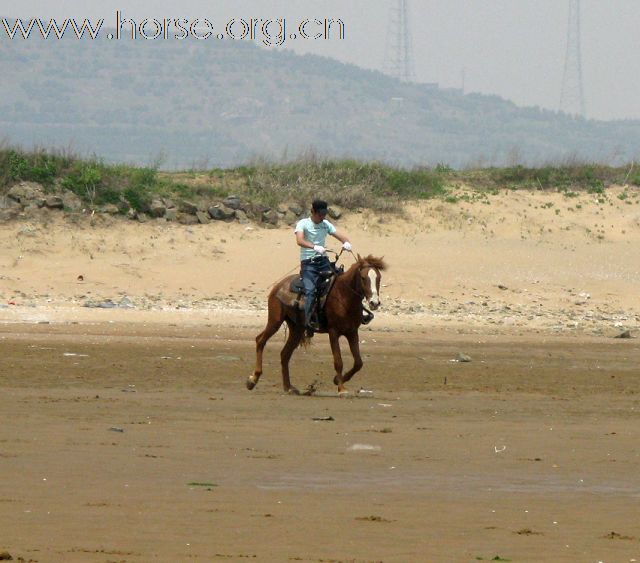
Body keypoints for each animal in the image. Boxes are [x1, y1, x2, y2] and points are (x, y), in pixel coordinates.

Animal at [245, 253, 384, 394]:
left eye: (379, 277)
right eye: (363, 278)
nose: (374, 303)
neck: (344, 296)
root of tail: (278, 286)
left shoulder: (352, 332)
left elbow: (358, 363)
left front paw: (337, 380)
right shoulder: (333, 332)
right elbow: (338, 361)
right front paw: (341, 388)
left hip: (297, 329)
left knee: (285, 354)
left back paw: (288, 387)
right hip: (275, 321)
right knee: (260, 340)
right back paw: (253, 379)